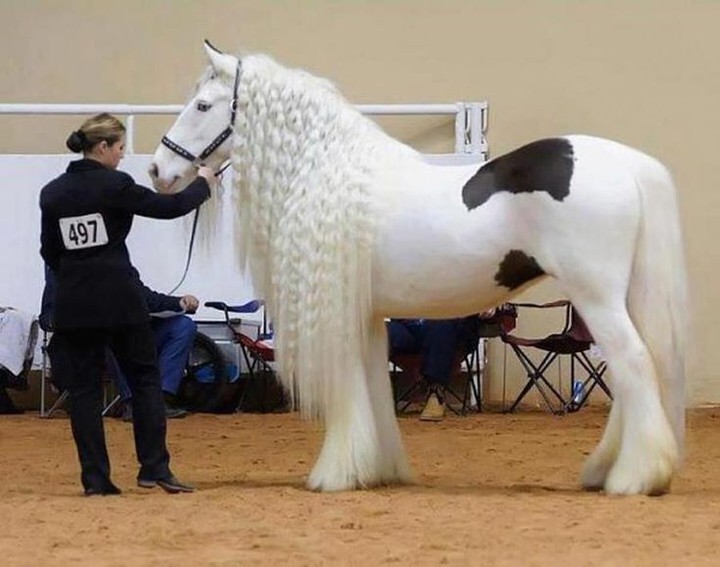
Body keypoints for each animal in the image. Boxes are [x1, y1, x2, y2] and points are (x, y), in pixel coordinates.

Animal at [149, 41, 688, 496]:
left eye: (202, 106)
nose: (157, 171)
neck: (326, 168)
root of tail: (629, 163)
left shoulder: (338, 312)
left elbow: (349, 390)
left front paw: (334, 475)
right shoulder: (369, 315)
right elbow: (372, 386)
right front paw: (376, 468)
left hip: (596, 297)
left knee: (634, 364)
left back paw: (635, 477)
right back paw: (607, 469)